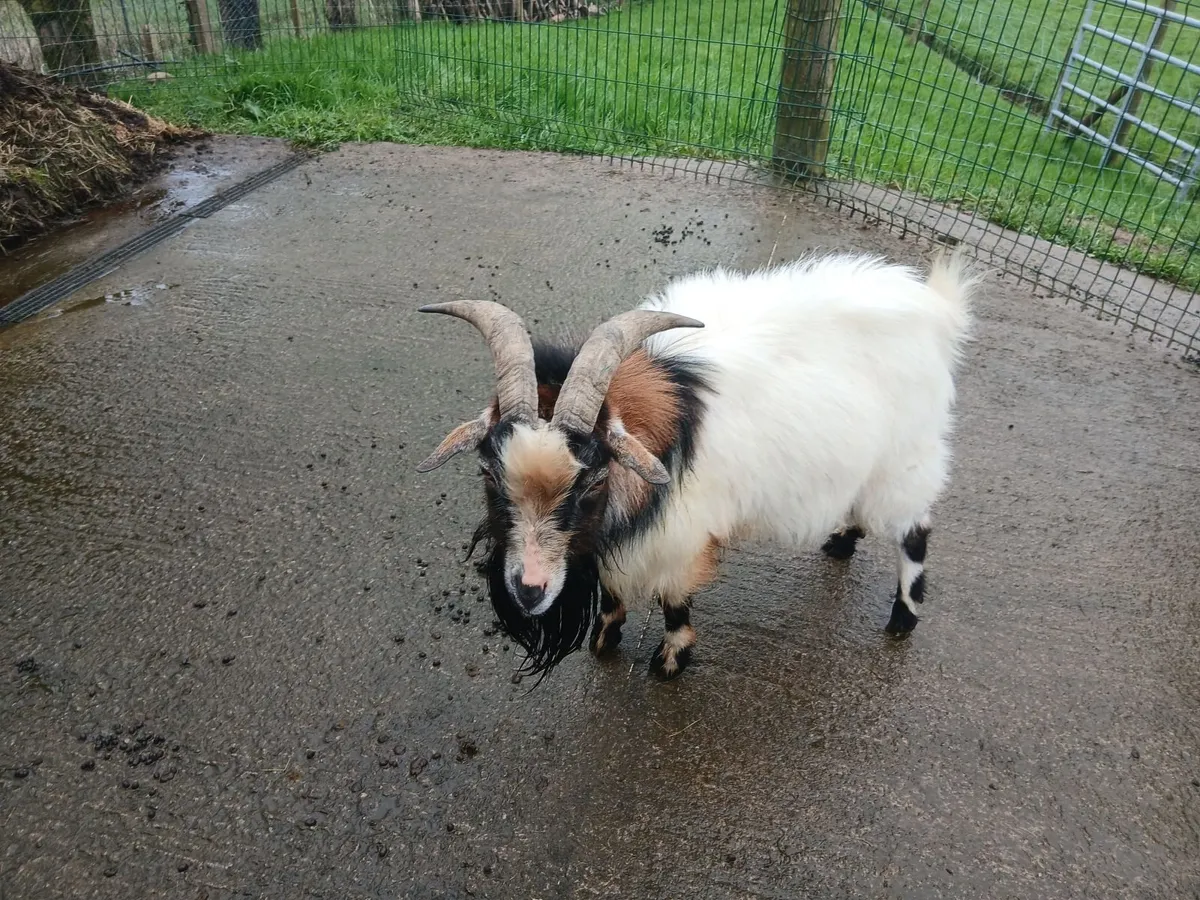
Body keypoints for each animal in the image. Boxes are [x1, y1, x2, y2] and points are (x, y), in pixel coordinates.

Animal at [416, 249, 979, 681]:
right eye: (489, 474)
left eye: (593, 479)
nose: (529, 592)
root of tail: (936, 307)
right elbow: (616, 589)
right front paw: (605, 635)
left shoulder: (680, 536)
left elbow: (674, 601)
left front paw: (670, 661)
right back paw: (840, 541)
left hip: (908, 457)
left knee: (914, 531)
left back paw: (903, 616)